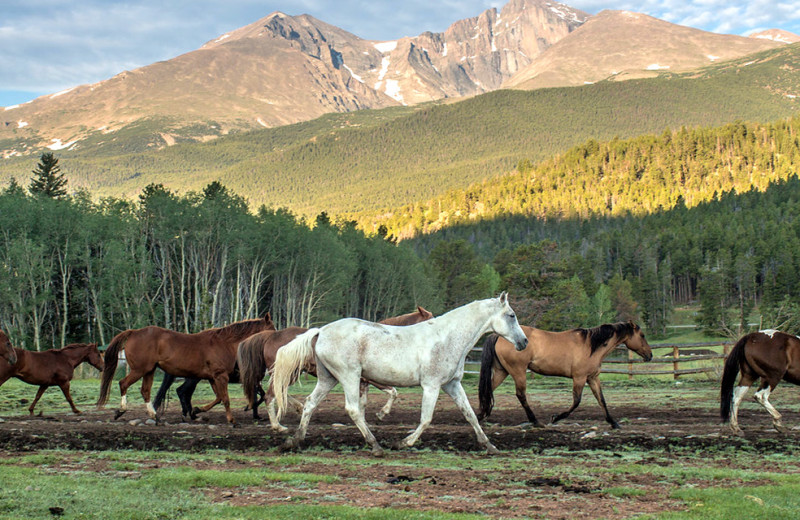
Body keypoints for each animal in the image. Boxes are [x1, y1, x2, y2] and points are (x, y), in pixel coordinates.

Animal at [97, 314, 276, 424]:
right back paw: (121, 410)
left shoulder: (214, 378)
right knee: (123, 384)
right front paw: (232, 420)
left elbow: (219, 398)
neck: (224, 343)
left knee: (146, 391)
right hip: (140, 370)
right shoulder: (220, 376)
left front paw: (197, 410)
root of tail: (134, 332)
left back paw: (155, 416)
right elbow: (225, 399)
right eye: (272, 329)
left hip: (149, 371)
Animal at [238, 304, 434, 430]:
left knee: (279, 393)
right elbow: (393, 392)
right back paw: (277, 425)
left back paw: (296, 409)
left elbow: (363, 403)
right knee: (271, 395)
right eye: (431, 320)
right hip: (288, 373)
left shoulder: (362, 382)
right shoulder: (372, 379)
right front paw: (381, 413)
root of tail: (269, 336)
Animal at [272, 294, 528, 458]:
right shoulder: (431, 386)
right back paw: (376, 446)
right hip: (349, 377)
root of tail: (321, 330)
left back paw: (293, 441)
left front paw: (490, 446)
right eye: (512, 315)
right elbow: (426, 419)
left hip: (328, 379)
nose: (524, 342)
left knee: (310, 403)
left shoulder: (452, 385)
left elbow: (470, 415)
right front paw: (402, 443)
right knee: (353, 410)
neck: (447, 337)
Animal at [478, 322, 652, 428]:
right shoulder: (579, 378)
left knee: (488, 390)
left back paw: (480, 416)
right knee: (520, 395)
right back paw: (535, 421)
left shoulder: (592, 378)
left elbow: (601, 400)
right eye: (642, 335)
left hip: (502, 371)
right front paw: (556, 418)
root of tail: (498, 336)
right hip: (518, 371)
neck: (591, 346)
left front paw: (613, 422)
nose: (650, 355)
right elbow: (576, 401)